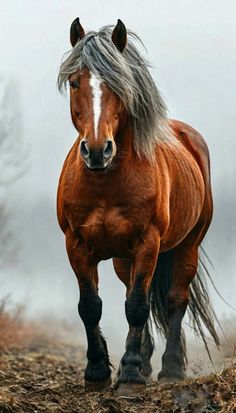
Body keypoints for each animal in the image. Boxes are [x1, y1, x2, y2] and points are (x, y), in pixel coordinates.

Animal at [57, 19, 219, 396]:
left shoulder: (148, 243)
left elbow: (137, 306)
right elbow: (91, 306)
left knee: (174, 299)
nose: (97, 150)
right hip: (122, 259)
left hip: (187, 246)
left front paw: (129, 376)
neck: (105, 183)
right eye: (74, 82)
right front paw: (98, 371)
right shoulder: (76, 244)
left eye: (120, 84)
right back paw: (144, 363)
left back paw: (169, 369)